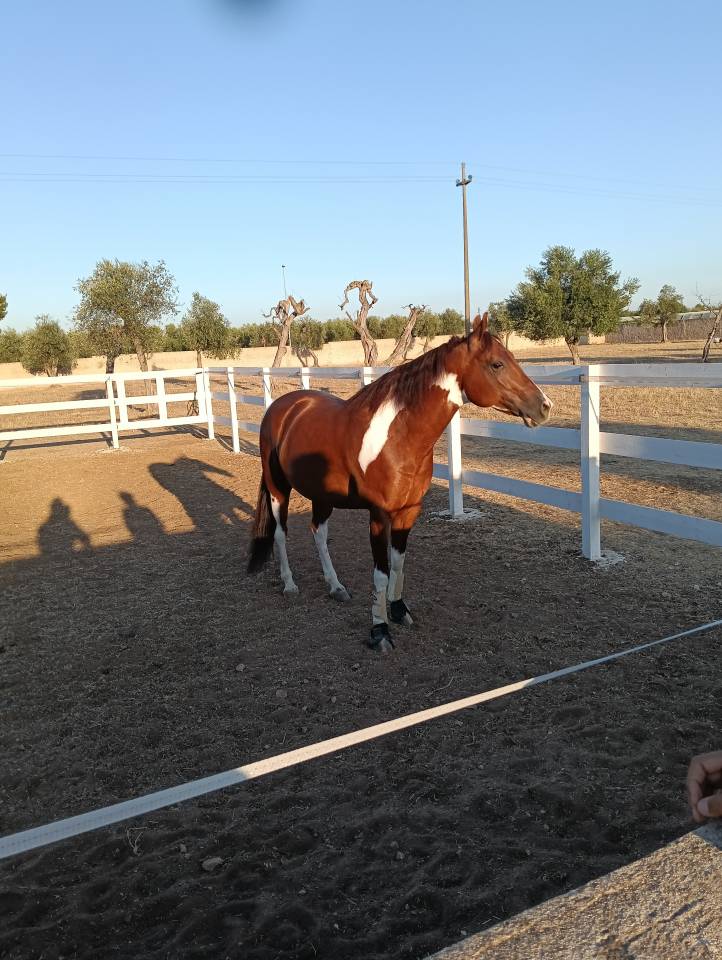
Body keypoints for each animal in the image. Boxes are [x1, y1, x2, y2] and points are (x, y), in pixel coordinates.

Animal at [247, 312, 552, 652]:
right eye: (497, 364)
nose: (544, 406)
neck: (398, 438)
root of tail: (283, 406)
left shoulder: (409, 511)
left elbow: (398, 563)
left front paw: (397, 610)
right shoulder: (379, 515)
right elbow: (380, 572)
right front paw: (380, 630)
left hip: (322, 496)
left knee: (318, 533)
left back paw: (336, 586)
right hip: (278, 489)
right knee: (280, 533)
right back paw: (289, 584)